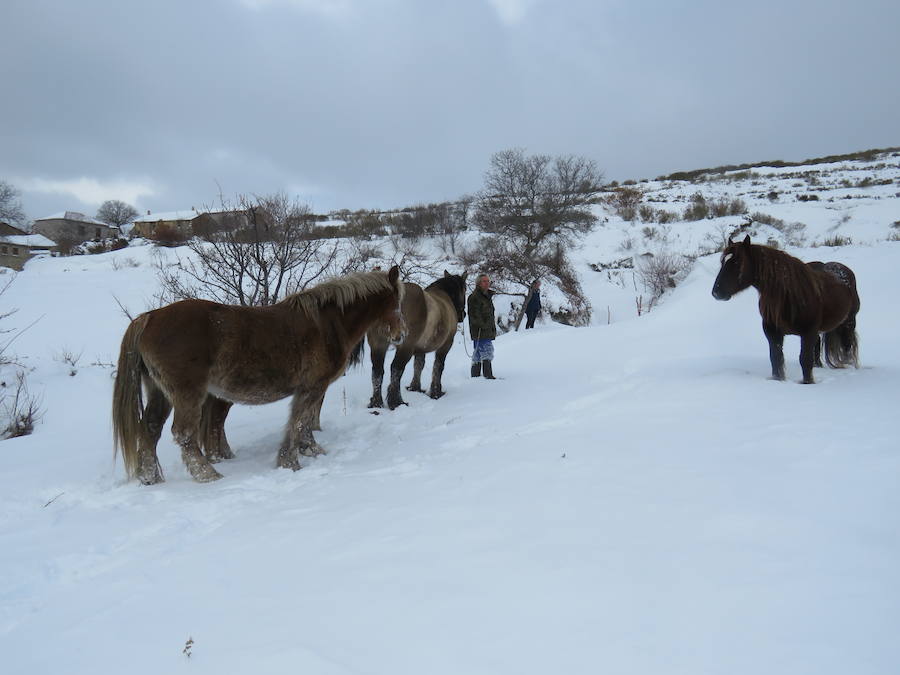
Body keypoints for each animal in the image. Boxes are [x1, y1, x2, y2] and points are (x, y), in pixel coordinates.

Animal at [112, 266, 404, 486]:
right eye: (398, 302)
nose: (401, 335)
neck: (328, 324)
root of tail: (149, 318)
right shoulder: (312, 387)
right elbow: (299, 422)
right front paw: (290, 462)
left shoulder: (313, 389)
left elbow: (305, 423)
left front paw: (311, 450)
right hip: (187, 395)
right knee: (183, 434)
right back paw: (208, 475)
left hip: (160, 393)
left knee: (150, 430)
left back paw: (151, 479)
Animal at [352, 270, 468, 410]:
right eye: (465, 289)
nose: (463, 315)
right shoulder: (445, 345)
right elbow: (438, 367)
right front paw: (436, 392)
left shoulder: (421, 348)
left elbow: (418, 365)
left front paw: (415, 387)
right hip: (405, 348)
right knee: (396, 369)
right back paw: (397, 402)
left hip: (378, 345)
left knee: (377, 371)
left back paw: (376, 403)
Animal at [712, 238, 860, 386]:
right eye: (722, 262)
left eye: (737, 262)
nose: (716, 292)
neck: (789, 295)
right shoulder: (772, 331)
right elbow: (776, 358)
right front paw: (778, 380)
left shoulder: (808, 332)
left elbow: (805, 360)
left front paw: (807, 383)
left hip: (849, 322)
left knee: (847, 345)